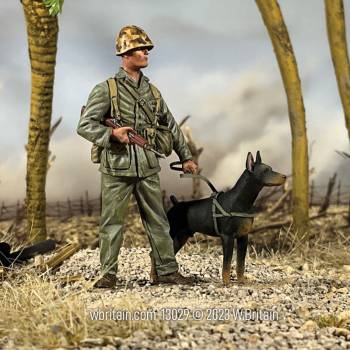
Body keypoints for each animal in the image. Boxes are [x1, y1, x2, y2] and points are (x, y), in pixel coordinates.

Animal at [150, 150, 284, 284]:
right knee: (154, 253)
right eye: (265, 170)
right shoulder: (227, 237)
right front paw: (227, 282)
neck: (241, 201)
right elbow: (227, 262)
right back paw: (153, 278)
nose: (285, 177)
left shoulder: (243, 237)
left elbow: (241, 263)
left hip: (181, 237)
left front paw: (241, 281)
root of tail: (176, 204)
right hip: (171, 233)